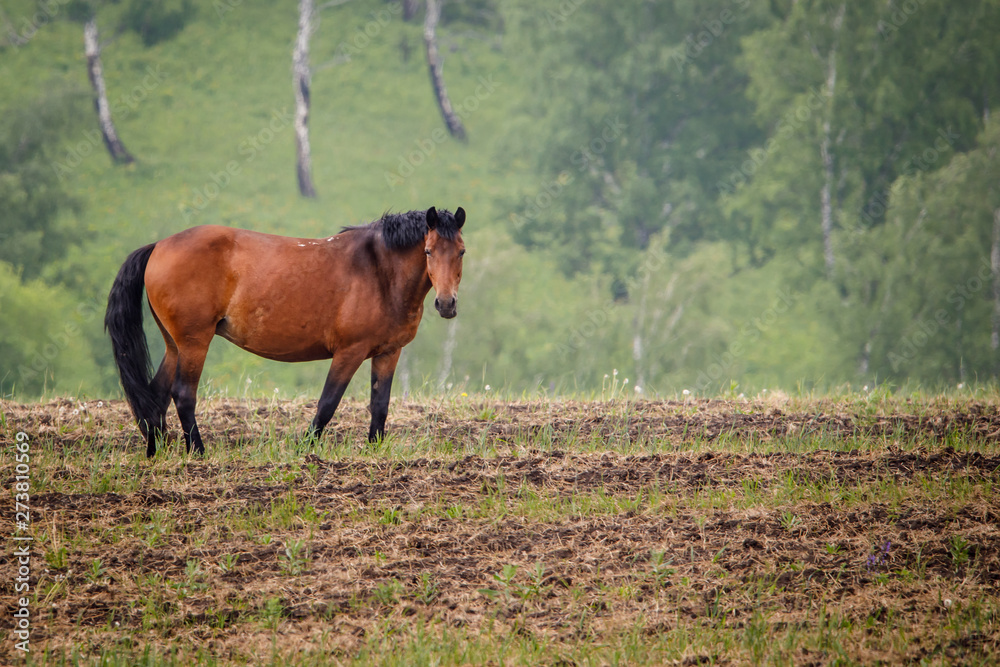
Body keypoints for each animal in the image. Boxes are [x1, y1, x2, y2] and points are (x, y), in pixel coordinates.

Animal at [105, 206, 466, 457]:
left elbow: (380, 405)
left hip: (174, 345)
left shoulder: (389, 353)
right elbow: (327, 403)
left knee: (156, 394)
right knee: (182, 394)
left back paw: (156, 451)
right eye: (429, 251)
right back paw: (198, 452)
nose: (447, 304)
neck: (379, 270)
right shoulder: (349, 352)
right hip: (194, 343)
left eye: (461, 251)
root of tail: (159, 246)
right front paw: (304, 448)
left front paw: (374, 449)